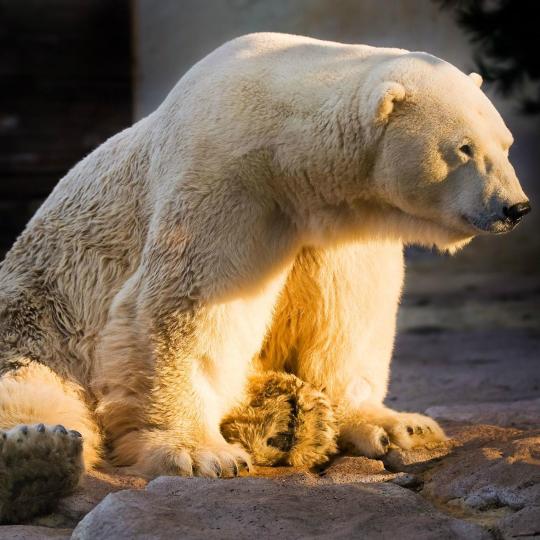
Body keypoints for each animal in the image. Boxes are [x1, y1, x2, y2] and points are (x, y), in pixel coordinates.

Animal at [0, 31, 528, 520]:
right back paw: (36, 458)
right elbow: (183, 310)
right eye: (463, 148)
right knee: (32, 386)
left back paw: (288, 417)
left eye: (506, 143)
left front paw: (402, 426)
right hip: (38, 318)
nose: (515, 207)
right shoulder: (225, 182)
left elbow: (347, 318)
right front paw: (201, 453)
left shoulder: (342, 226)